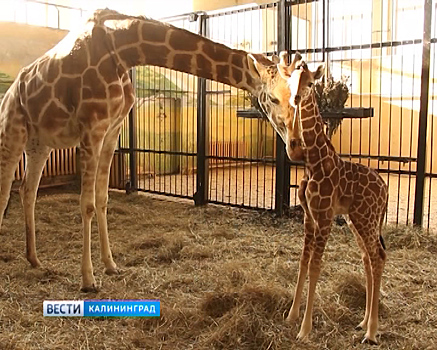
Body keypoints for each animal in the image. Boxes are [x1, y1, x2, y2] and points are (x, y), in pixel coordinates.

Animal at [0, 9, 296, 292]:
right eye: (273, 98)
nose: (293, 143)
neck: (123, 51)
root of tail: (10, 93)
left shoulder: (112, 130)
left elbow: (102, 199)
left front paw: (110, 265)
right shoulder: (92, 128)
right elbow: (87, 204)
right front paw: (88, 280)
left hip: (39, 143)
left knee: (27, 191)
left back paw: (34, 259)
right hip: (12, 132)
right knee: (5, 193)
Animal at [278, 58, 386, 344]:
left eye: (310, 83)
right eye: (292, 80)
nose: (295, 98)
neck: (315, 161)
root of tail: (385, 189)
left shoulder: (324, 217)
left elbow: (316, 267)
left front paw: (305, 330)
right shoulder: (308, 217)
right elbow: (303, 263)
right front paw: (291, 316)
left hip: (366, 219)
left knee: (378, 257)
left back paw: (372, 332)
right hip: (355, 219)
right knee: (368, 258)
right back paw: (362, 322)